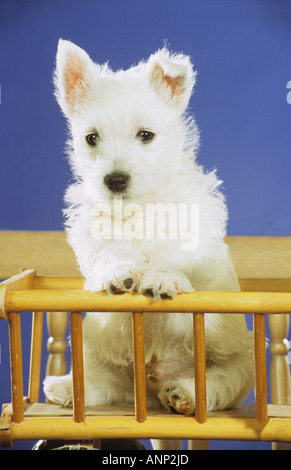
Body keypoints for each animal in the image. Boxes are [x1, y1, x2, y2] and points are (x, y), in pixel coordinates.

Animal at [44, 40, 256, 440]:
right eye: (91, 137)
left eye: (146, 135)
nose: (115, 180)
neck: (138, 208)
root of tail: (153, 385)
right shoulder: (93, 230)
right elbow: (111, 252)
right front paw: (120, 275)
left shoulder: (190, 225)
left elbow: (171, 253)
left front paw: (161, 278)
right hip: (97, 348)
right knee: (103, 384)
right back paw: (65, 387)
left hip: (239, 359)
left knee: (219, 382)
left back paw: (184, 393)